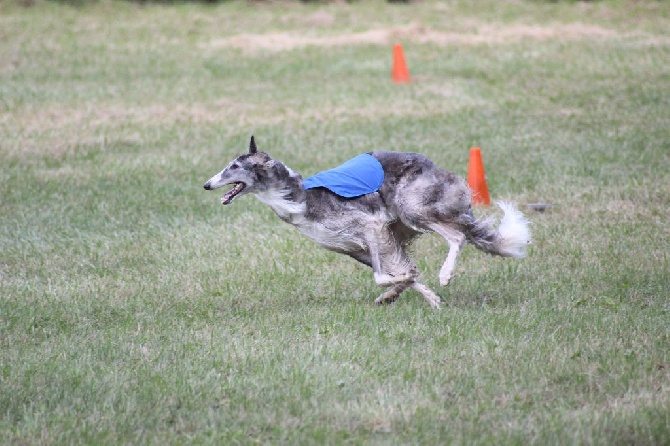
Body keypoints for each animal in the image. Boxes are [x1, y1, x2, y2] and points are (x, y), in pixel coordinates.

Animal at [202, 136, 532, 308]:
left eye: (234, 166)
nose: (206, 185)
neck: (300, 196)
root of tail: (433, 167)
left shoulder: (371, 226)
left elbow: (385, 275)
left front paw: (410, 285)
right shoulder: (356, 247)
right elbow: (403, 273)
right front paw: (424, 297)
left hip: (412, 207)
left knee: (457, 237)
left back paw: (445, 275)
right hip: (404, 221)